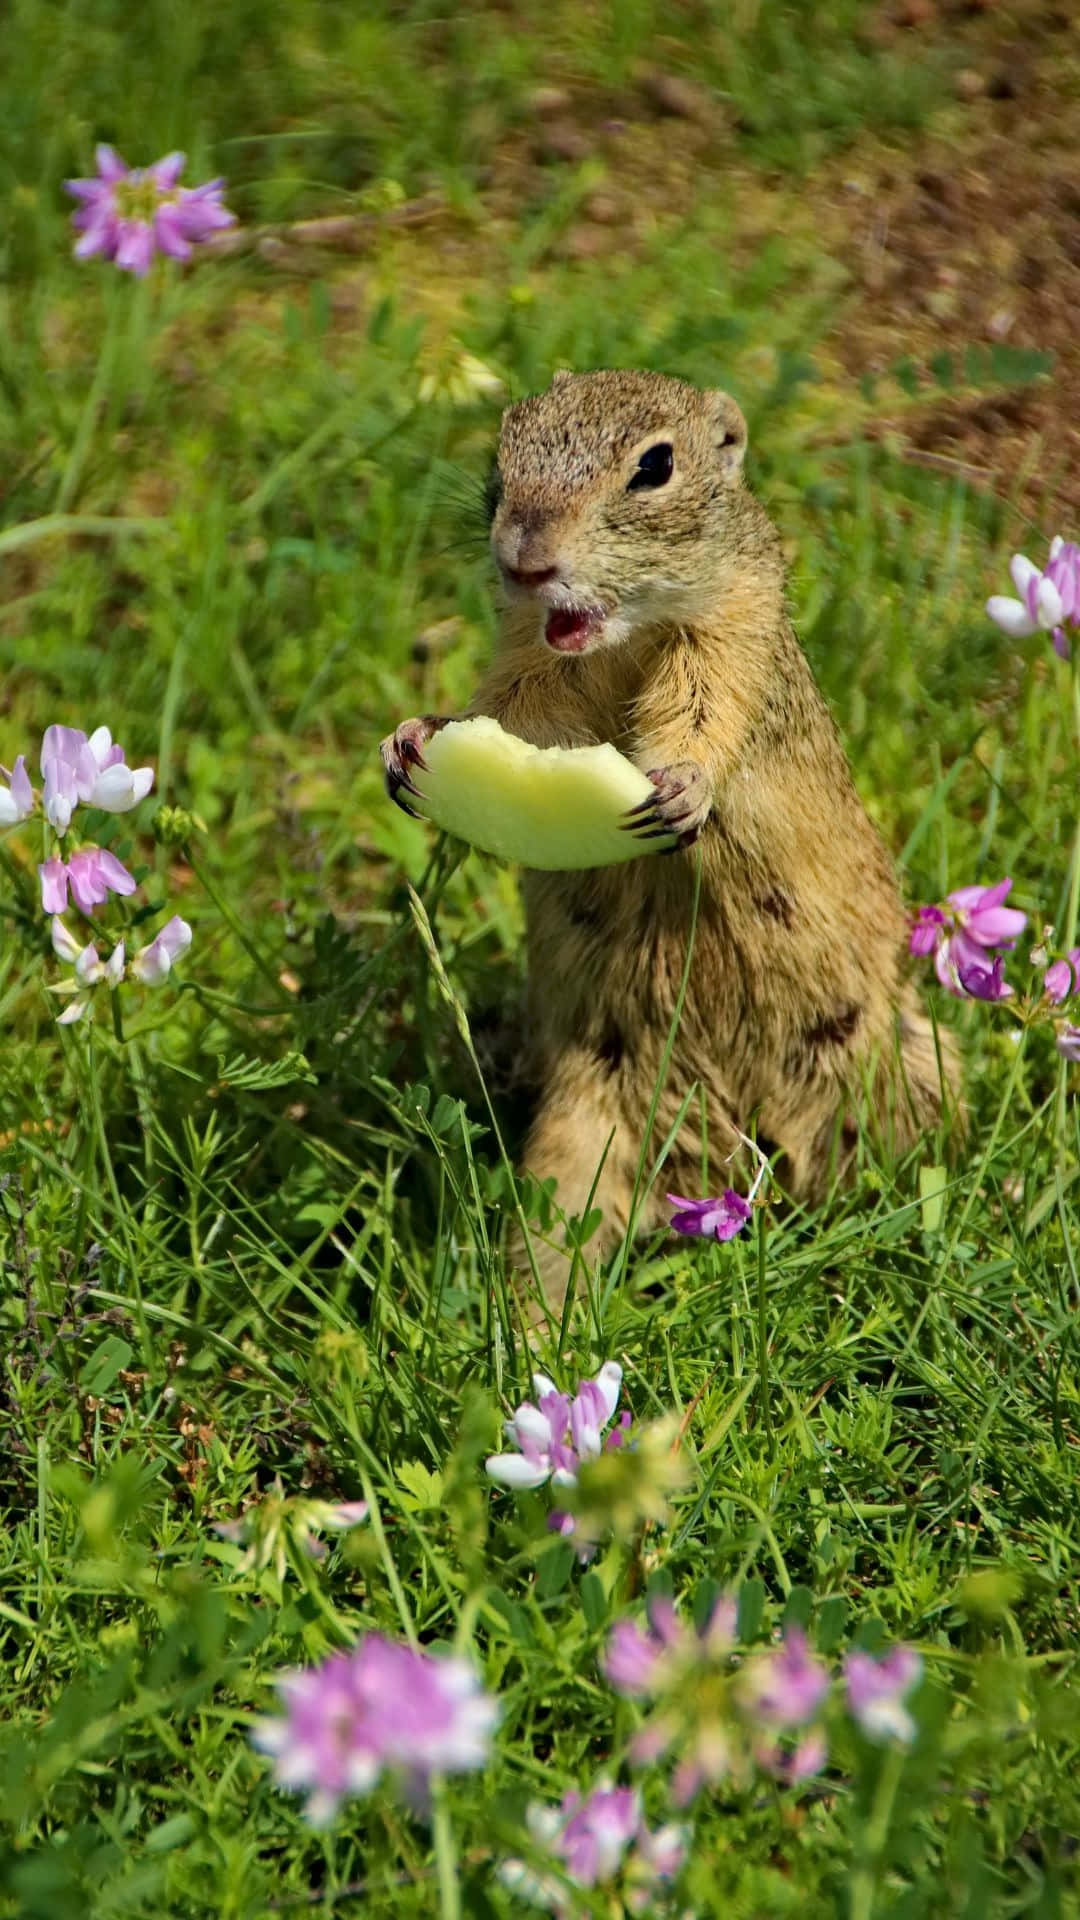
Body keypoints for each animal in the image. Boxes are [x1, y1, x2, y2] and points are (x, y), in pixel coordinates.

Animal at [382, 366, 953, 1305]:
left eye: (655, 466)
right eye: (507, 440)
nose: (522, 560)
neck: (622, 639)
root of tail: (717, 1154)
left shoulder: (731, 636)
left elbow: (706, 715)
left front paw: (684, 789)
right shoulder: (532, 669)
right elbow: (510, 714)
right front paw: (412, 738)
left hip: (887, 1071)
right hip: (583, 1121)